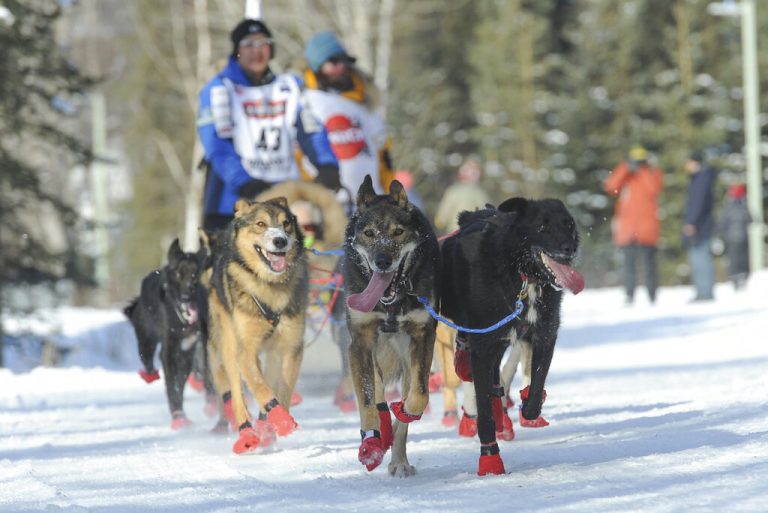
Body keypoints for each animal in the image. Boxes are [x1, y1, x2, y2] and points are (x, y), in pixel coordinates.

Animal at [124, 238, 202, 430]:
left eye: (195, 274)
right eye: (179, 274)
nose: (185, 297)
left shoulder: (187, 351)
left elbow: (179, 383)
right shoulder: (169, 352)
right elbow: (172, 385)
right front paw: (178, 416)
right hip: (146, 340)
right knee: (147, 358)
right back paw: (150, 374)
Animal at [206, 196, 308, 454]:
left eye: (286, 224)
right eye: (260, 224)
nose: (280, 240)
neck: (269, 286)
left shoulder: (291, 348)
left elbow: (282, 389)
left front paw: (277, 423)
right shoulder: (246, 350)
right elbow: (260, 387)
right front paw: (280, 419)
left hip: (272, 354)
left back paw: (265, 429)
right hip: (229, 346)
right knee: (236, 392)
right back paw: (247, 434)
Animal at [343, 175, 439, 476]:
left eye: (398, 232)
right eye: (369, 233)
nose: (382, 261)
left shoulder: (422, 336)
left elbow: (418, 396)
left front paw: (405, 413)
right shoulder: (360, 341)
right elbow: (367, 399)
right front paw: (371, 442)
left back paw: (399, 459)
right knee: (376, 391)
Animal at [440, 197, 584, 475]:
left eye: (569, 224)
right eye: (542, 227)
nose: (570, 248)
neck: (523, 276)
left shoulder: (544, 335)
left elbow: (536, 383)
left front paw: (529, 407)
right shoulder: (483, 345)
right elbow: (484, 410)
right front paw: (490, 459)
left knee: (496, 382)